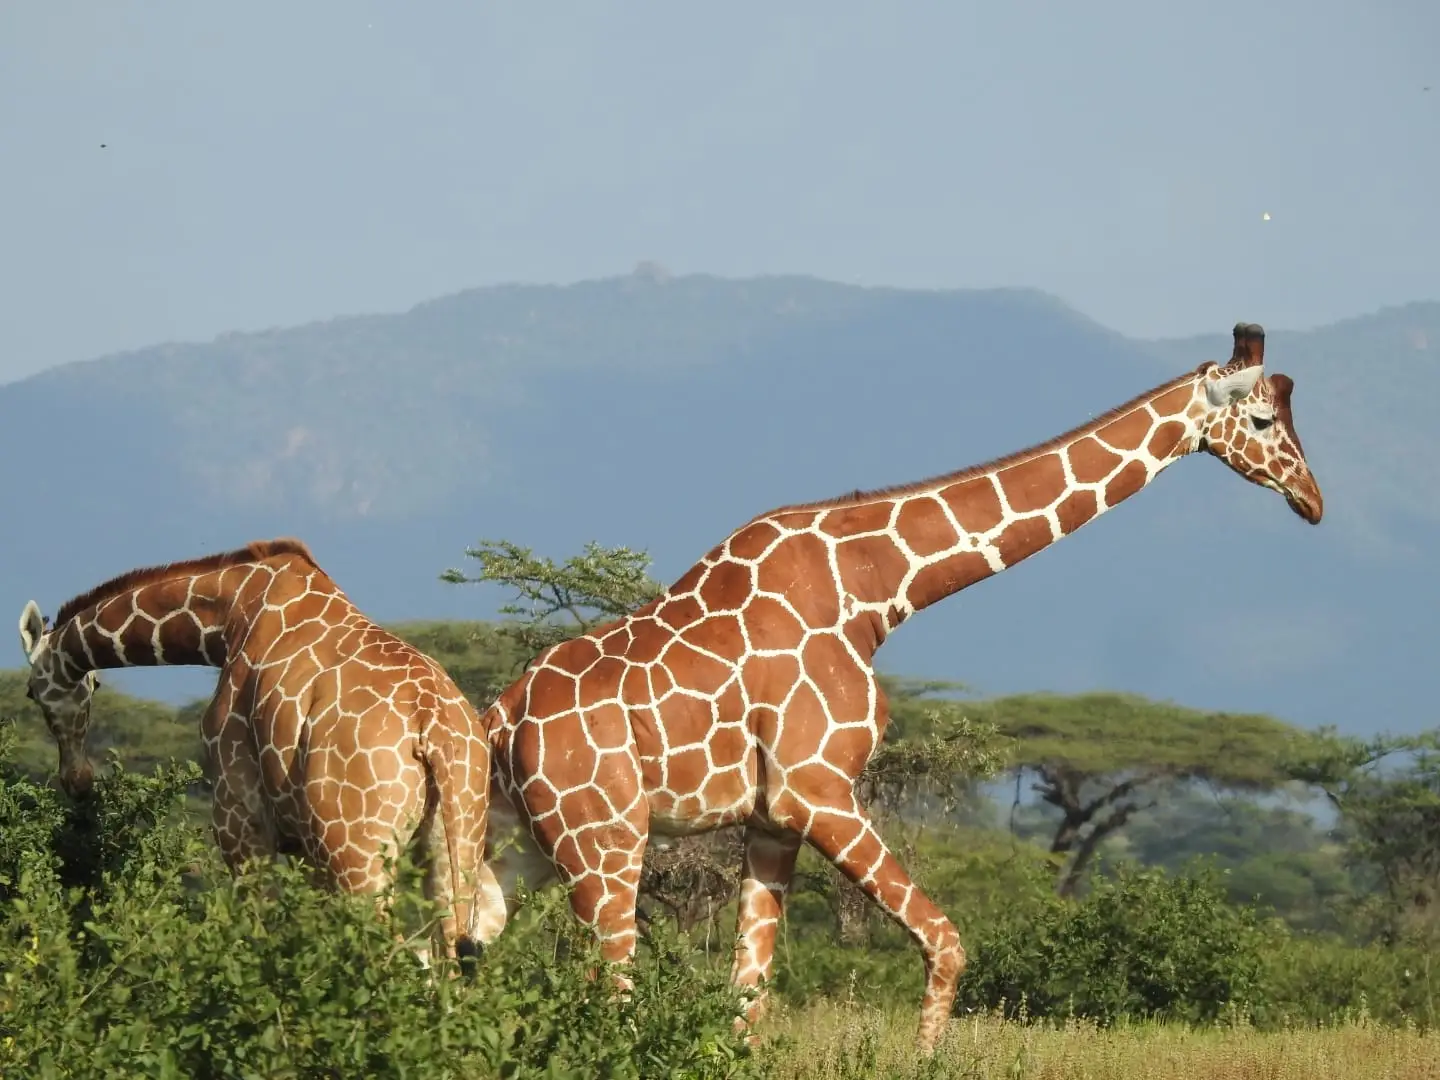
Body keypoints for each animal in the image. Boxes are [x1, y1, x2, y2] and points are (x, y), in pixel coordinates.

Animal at [16, 538, 504, 965]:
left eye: (30, 692)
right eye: (95, 684)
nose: (77, 780)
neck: (227, 617)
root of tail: (431, 725)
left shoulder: (241, 821)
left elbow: (261, 932)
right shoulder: (306, 846)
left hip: (356, 849)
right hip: (456, 835)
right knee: (448, 951)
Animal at [474, 321, 1323, 1054]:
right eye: (1263, 419)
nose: (1313, 501)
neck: (877, 589)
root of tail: (501, 718)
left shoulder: (772, 815)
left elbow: (749, 993)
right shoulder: (815, 789)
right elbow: (946, 941)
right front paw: (922, 1057)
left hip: (521, 844)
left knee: (461, 951)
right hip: (607, 839)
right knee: (604, 987)